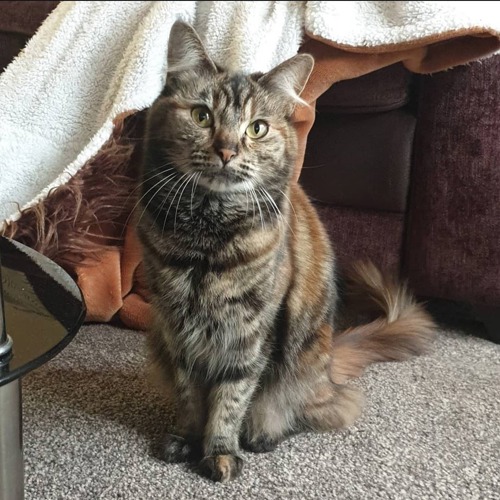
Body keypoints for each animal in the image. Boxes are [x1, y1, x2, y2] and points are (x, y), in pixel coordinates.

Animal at [136, 21, 434, 482]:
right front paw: (186, 439)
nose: (227, 150)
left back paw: (263, 435)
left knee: (320, 408)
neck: (206, 235)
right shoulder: (175, 326)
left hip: (302, 362)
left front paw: (219, 452)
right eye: (202, 116)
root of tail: (330, 366)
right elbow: (190, 396)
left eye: (256, 128)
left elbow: (230, 398)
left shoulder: (251, 331)